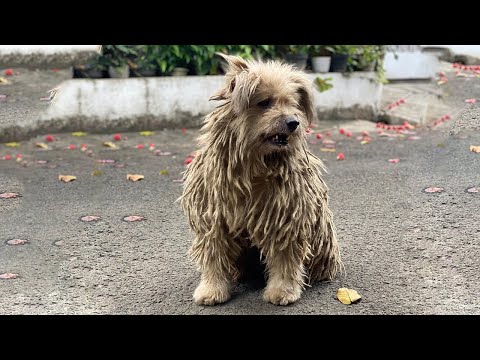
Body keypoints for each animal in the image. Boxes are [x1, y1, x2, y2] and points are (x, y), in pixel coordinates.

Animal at [180, 54, 342, 306]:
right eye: (264, 102)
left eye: (292, 103)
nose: (294, 122)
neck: (254, 165)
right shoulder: (214, 220)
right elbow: (214, 257)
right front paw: (212, 289)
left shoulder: (285, 219)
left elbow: (285, 260)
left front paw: (283, 291)